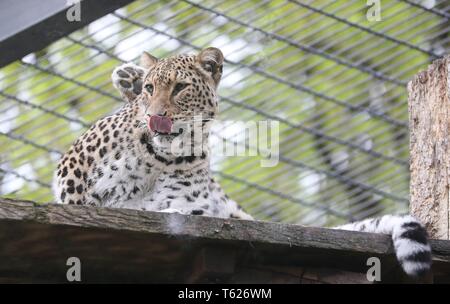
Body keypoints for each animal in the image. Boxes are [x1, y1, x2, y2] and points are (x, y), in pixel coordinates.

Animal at [52, 47, 432, 278]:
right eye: (151, 88)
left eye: (180, 88)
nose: (154, 115)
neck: (158, 160)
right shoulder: (73, 168)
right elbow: (76, 202)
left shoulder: (181, 206)